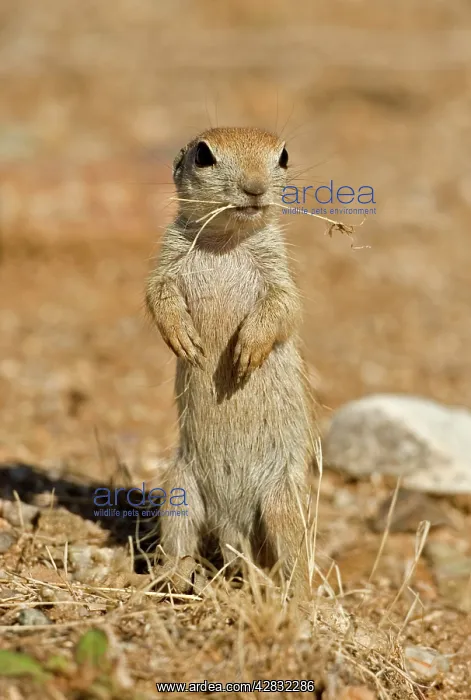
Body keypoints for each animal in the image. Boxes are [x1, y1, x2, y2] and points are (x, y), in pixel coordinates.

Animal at [145, 127, 317, 594]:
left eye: (284, 156)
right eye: (203, 155)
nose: (255, 188)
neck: (226, 240)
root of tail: (230, 518)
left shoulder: (278, 270)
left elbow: (284, 307)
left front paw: (246, 350)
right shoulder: (166, 259)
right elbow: (156, 293)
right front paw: (183, 339)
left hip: (281, 501)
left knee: (293, 555)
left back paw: (297, 596)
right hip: (179, 487)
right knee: (181, 535)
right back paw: (175, 575)